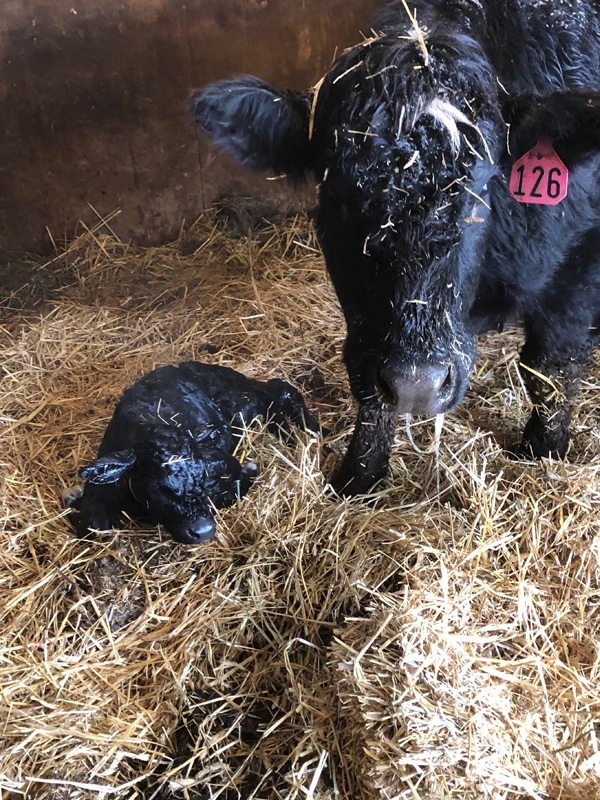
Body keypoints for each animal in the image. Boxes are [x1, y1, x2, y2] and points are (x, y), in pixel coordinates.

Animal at [69, 362, 322, 544]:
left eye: (202, 477)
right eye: (158, 487)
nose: (203, 530)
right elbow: (93, 528)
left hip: (243, 402)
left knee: (281, 390)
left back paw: (312, 428)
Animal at [193, 1, 600, 494]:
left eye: (481, 188)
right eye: (337, 196)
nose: (416, 385)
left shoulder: (578, 269)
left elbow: (550, 370)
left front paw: (543, 453)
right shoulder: (368, 336)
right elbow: (372, 400)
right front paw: (358, 477)